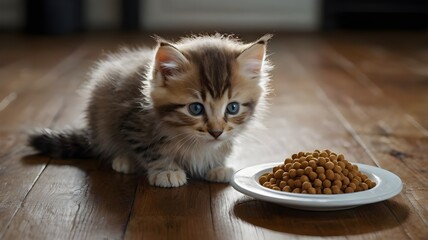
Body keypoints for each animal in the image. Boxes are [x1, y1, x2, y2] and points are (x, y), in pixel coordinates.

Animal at [30, 33, 272, 188]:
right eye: (195, 108)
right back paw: (124, 160)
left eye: (232, 107)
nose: (216, 132)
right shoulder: (133, 122)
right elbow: (150, 149)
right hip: (100, 111)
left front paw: (217, 166)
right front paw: (167, 171)